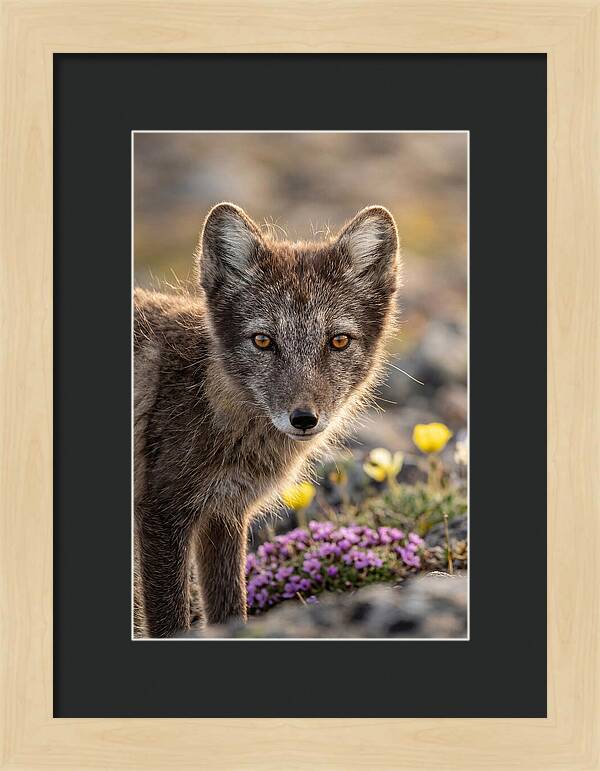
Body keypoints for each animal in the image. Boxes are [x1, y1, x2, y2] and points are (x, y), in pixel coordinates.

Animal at [134, 202, 401, 637]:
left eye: (338, 341)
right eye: (263, 341)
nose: (304, 419)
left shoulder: (224, 515)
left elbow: (230, 609)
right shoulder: (162, 513)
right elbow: (171, 621)